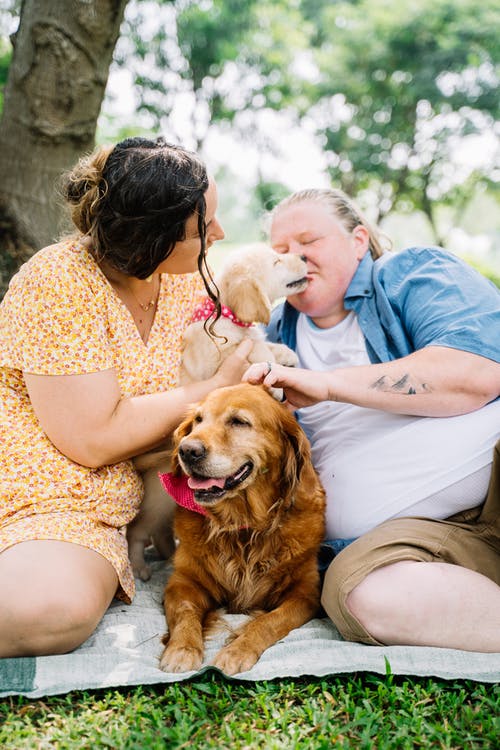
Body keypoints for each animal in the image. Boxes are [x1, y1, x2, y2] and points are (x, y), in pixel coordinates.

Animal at [127, 244, 306, 580]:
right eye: (277, 261)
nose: (302, 257)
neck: (229, 317)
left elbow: (262, 343)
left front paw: (285, 354)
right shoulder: (218, 362)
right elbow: (253, 352)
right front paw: (269, 369)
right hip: (157, 503)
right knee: (138, 532)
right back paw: (139, 566)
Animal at [158, 384, 326, 680]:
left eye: (239, 421)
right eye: (198, 420)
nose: (187, 450)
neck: (242, 527)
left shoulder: (305, 593)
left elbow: (270, 621)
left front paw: (237, 651)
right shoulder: (183, 582)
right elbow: (185, 612)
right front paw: (182, 650)